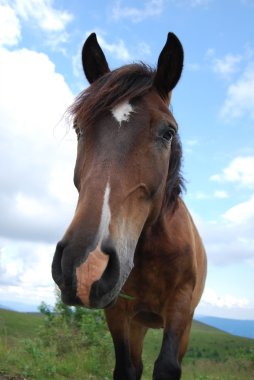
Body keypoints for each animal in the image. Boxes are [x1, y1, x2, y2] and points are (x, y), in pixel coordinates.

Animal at [51, 33, 206, 380]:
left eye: (168, 132)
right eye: (80, 129)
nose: (87, 264)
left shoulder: (180, 307)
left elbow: (167, 367)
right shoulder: (119, 310)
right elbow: (126, 368)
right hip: (138, 324)